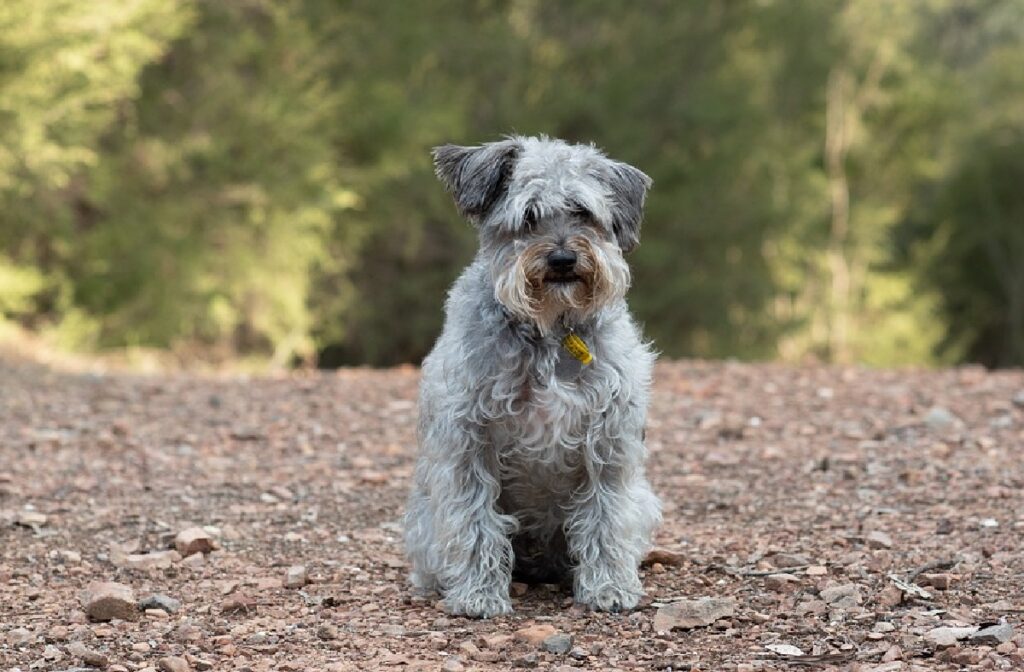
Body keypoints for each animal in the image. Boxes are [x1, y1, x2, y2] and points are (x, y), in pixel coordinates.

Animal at [403, 134, 659, 618]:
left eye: (582, 212)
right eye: (528, 216)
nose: (562, 258)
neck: (551, 331)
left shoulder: (608, 443)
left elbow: (606, 517)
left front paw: (609, 587)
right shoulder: (469, 443)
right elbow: (475, 521)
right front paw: (479, 594)